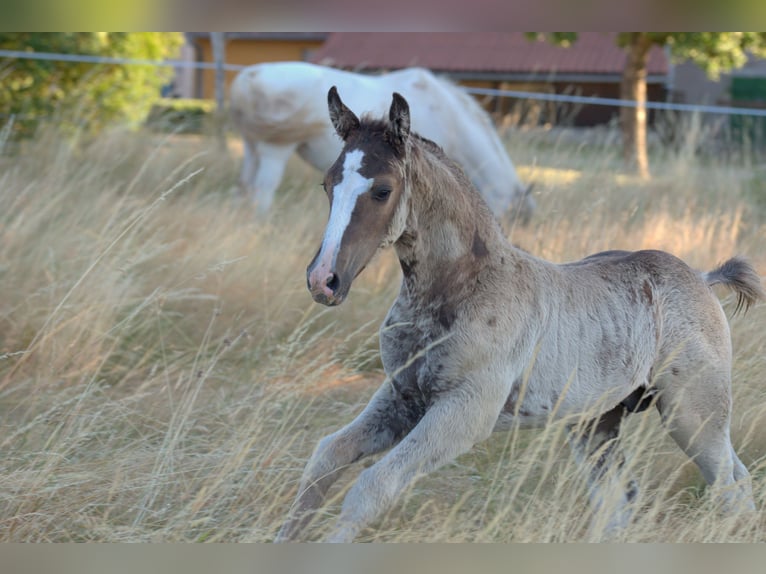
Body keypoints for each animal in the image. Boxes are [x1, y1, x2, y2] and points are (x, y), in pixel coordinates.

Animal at [229, 61, 534, 222]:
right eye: (517, 217)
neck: (447, 112)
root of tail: (248, 76)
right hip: (274, 151)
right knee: (262, 192)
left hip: (251, 148)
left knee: (245, 188)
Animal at [274, 87, 765, 542]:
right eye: (327, 185)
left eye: (382, 190)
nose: (323, 280)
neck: (460, 289)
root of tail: (701, 278)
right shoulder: (401, 397)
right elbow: (327, 457)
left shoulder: (466, 411)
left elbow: (373, 486)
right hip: (596, 423)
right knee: (622, 500)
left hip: (693, 414)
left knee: (731, 489)